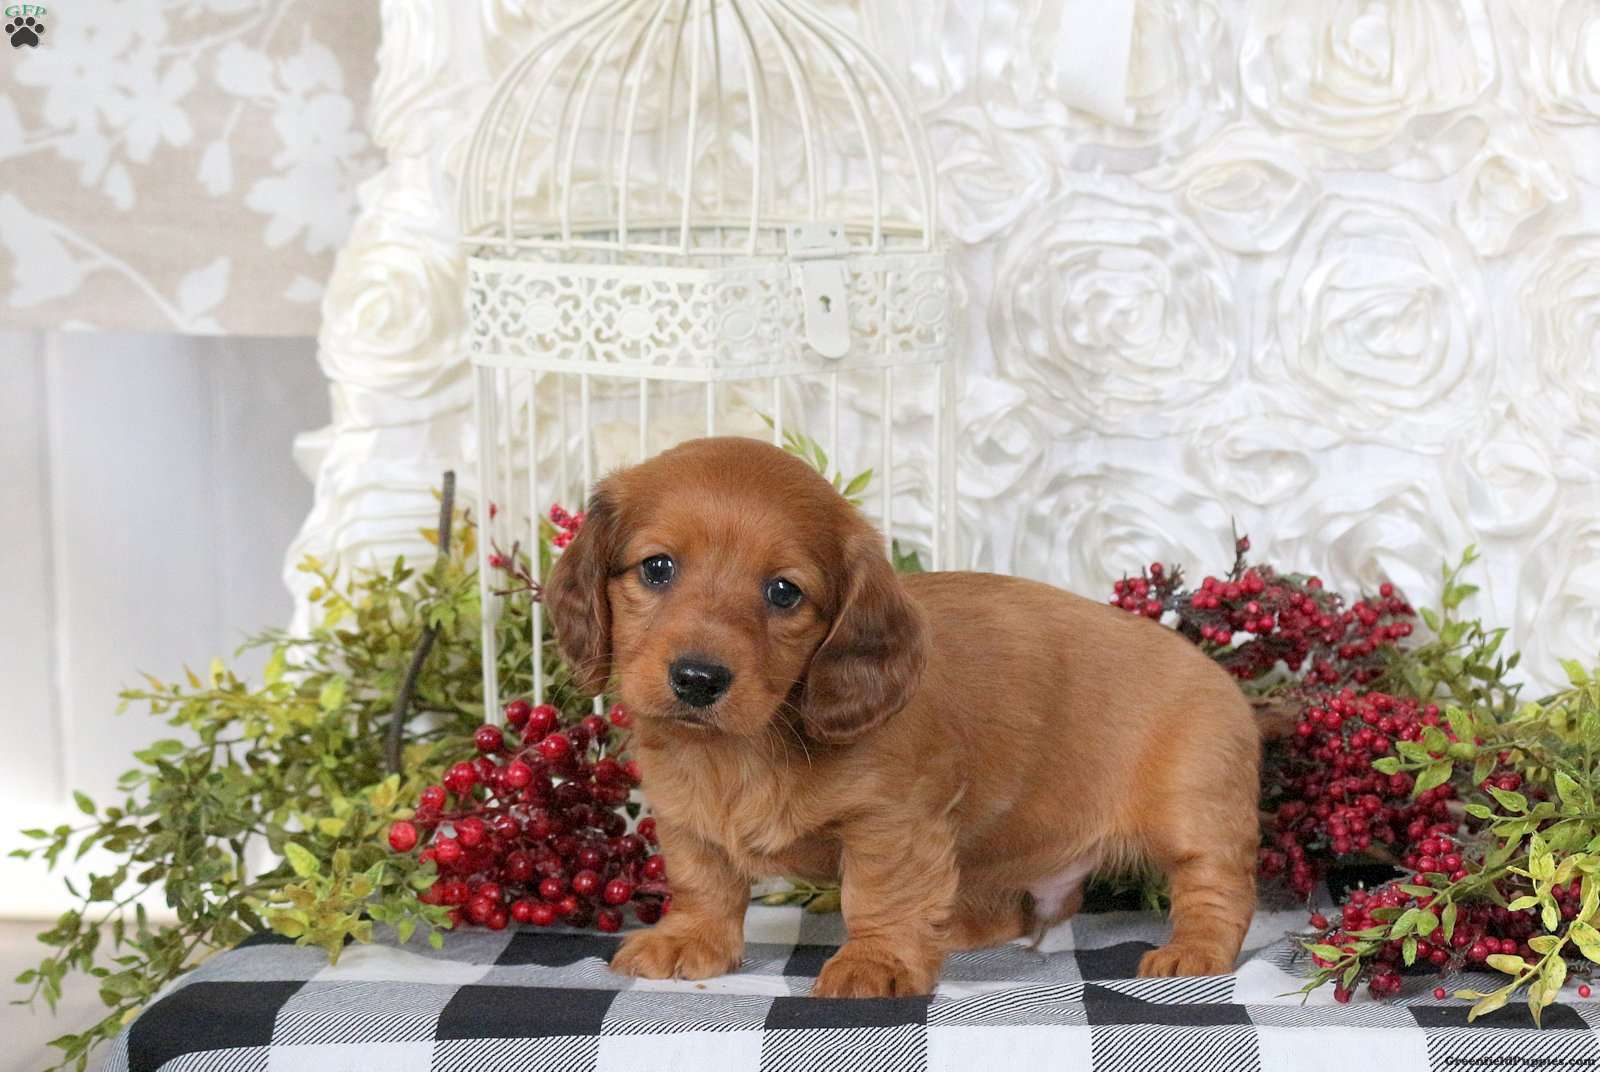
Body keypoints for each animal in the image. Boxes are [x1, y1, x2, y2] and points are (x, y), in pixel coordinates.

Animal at [546, 436, 1260, 997]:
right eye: (657, 567)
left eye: (783, 592)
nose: (698, 679)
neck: (748, 749)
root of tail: (1219, 674)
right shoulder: (684, 815)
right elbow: (704, 882)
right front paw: (687, 940)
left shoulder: (893, 822)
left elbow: (878, 896)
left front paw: (878, 962)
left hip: (1192, 812)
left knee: (1218, 887)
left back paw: (1193, 952)